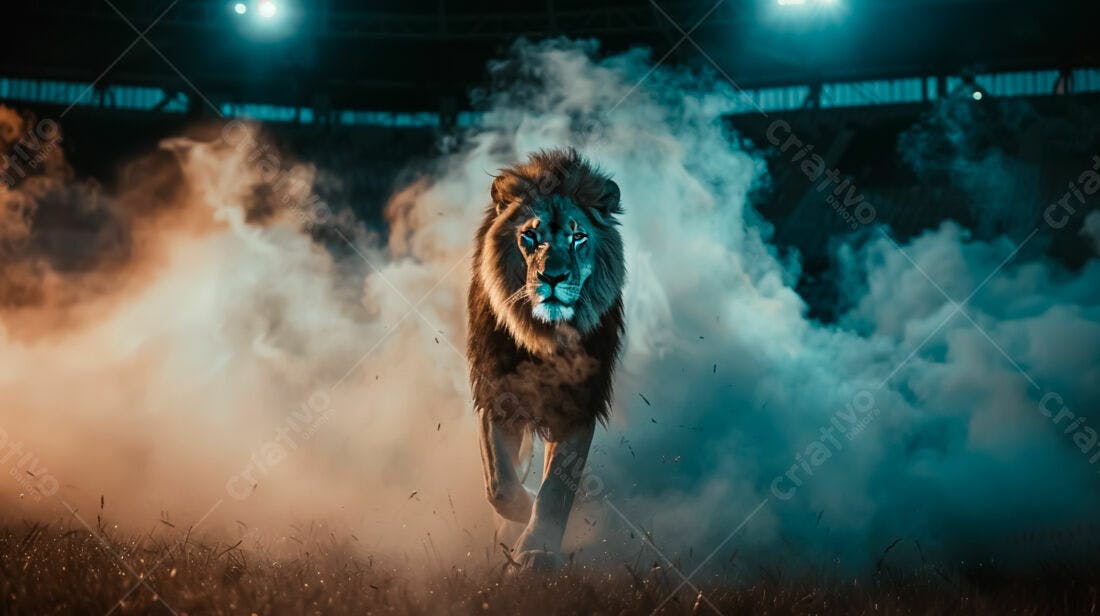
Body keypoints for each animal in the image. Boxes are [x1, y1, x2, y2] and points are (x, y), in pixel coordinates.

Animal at [467, 148, 625, 572]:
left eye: (578, 236)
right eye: (530, 236)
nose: (552, 278)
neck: (545, 338)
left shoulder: (579, 404)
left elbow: (556, 490)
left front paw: (536, 553)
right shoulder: (496, 392)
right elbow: (500, 485)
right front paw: (521, 515)